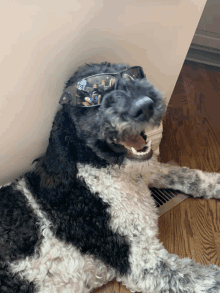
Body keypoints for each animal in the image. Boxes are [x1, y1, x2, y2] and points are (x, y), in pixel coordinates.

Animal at [0, 61, 220, 290]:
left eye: (133, 76)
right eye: (92, 98)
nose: (145, 105)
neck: (97, 169)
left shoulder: (144, 170)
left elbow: (187, 175)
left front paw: (216, 182)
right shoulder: (140, 260)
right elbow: (202, 280)